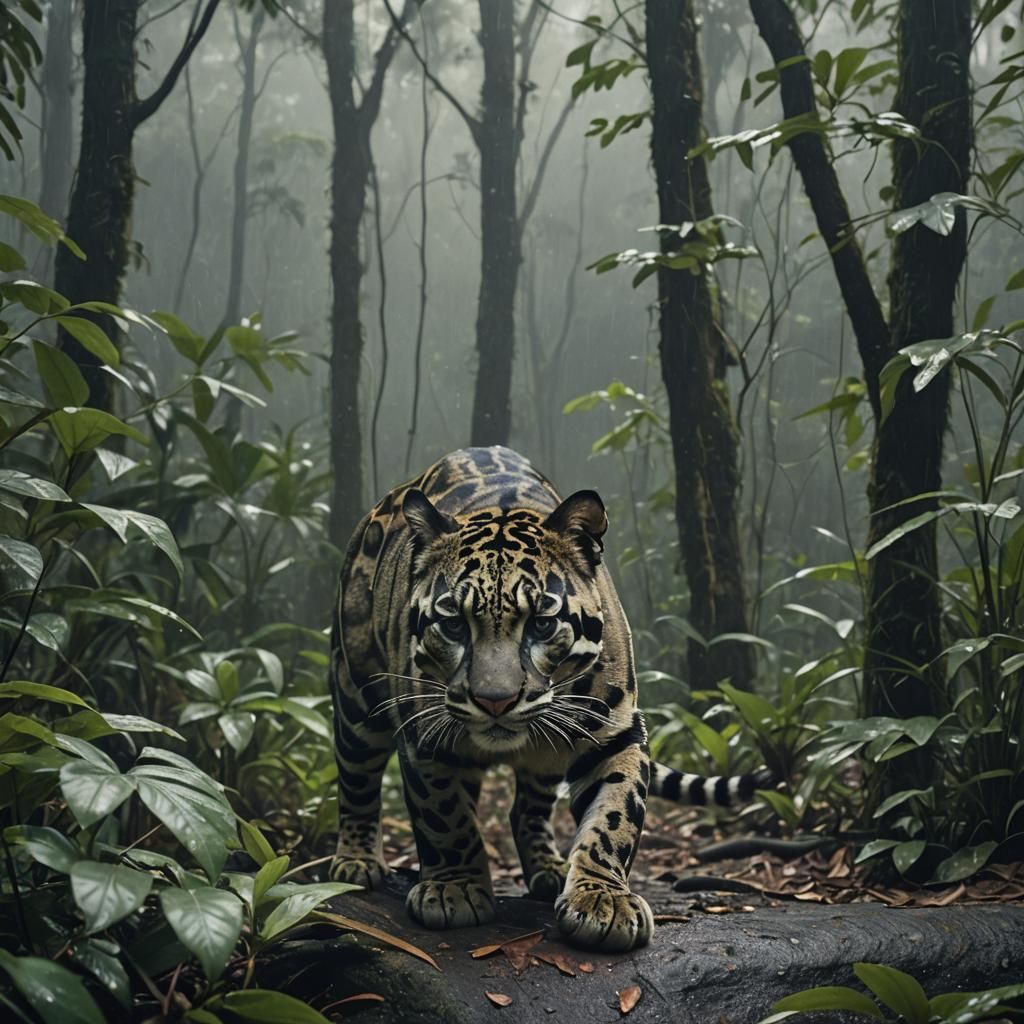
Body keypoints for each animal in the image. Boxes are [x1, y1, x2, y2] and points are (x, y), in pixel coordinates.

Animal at [328, 446, 770, 952]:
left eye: (541, 623)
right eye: (454, 625)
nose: (494, 701)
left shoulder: (615, 735)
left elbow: (614, 818)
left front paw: (603, 899)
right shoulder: (426, 736)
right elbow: (445, 816)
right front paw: (454, 889)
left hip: (545, 757)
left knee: (527, 807)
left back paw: (548, 868)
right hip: (355, 699)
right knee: (357, 783)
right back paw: (356, 861)